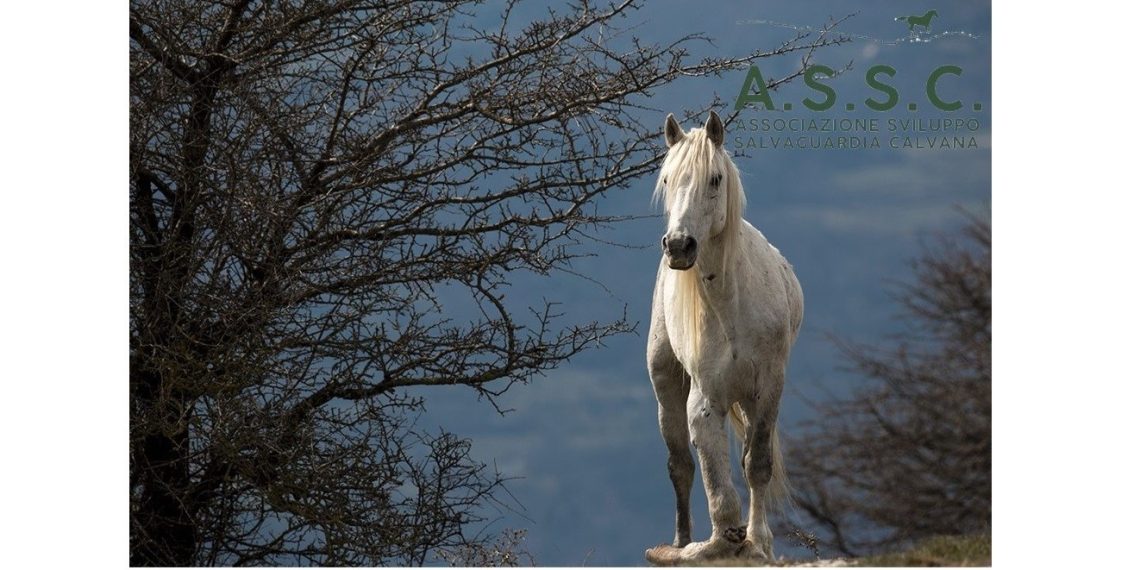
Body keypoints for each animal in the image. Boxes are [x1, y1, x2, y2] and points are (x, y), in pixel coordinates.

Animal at [644, 111, 803, 565]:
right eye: (667, 179)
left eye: (714, 179)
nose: (679, 246)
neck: (731, 308)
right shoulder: (705, 401)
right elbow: (714, 475)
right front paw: (724, 539)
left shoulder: (767, 389)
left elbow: (758, 465)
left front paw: (759, 541)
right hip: (666, 385)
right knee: (680, 464)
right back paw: (681, 542)